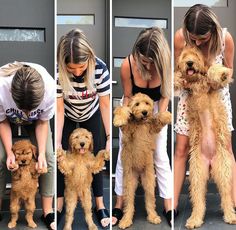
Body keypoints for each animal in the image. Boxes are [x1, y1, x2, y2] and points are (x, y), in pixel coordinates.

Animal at [113, 93, 171, 228]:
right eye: (137, 104)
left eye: (147, 103)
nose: (145, 112)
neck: (140, 123)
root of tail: (139, 173)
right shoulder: (127, 130)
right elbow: (121, 109)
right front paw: (119, 119)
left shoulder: (153, 128)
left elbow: (157, 118)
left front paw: (166, 115)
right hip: (129, 182)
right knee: (129, 202)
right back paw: (125, 220)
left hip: (149, 180)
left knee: (150, 200)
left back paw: (153, 216)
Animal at [174, 45, 235, 229]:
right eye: (185, 55)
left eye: (195, 55)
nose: (189, 63)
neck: (195, 81)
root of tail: (209, 161)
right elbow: (177, 76)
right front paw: (176, 78)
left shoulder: (209, 83)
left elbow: (212, 71)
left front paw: (222, 73)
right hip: (196, 175)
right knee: (199, 200)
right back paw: (194, 219)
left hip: (223, 171)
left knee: (226, 196)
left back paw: (230, 215)